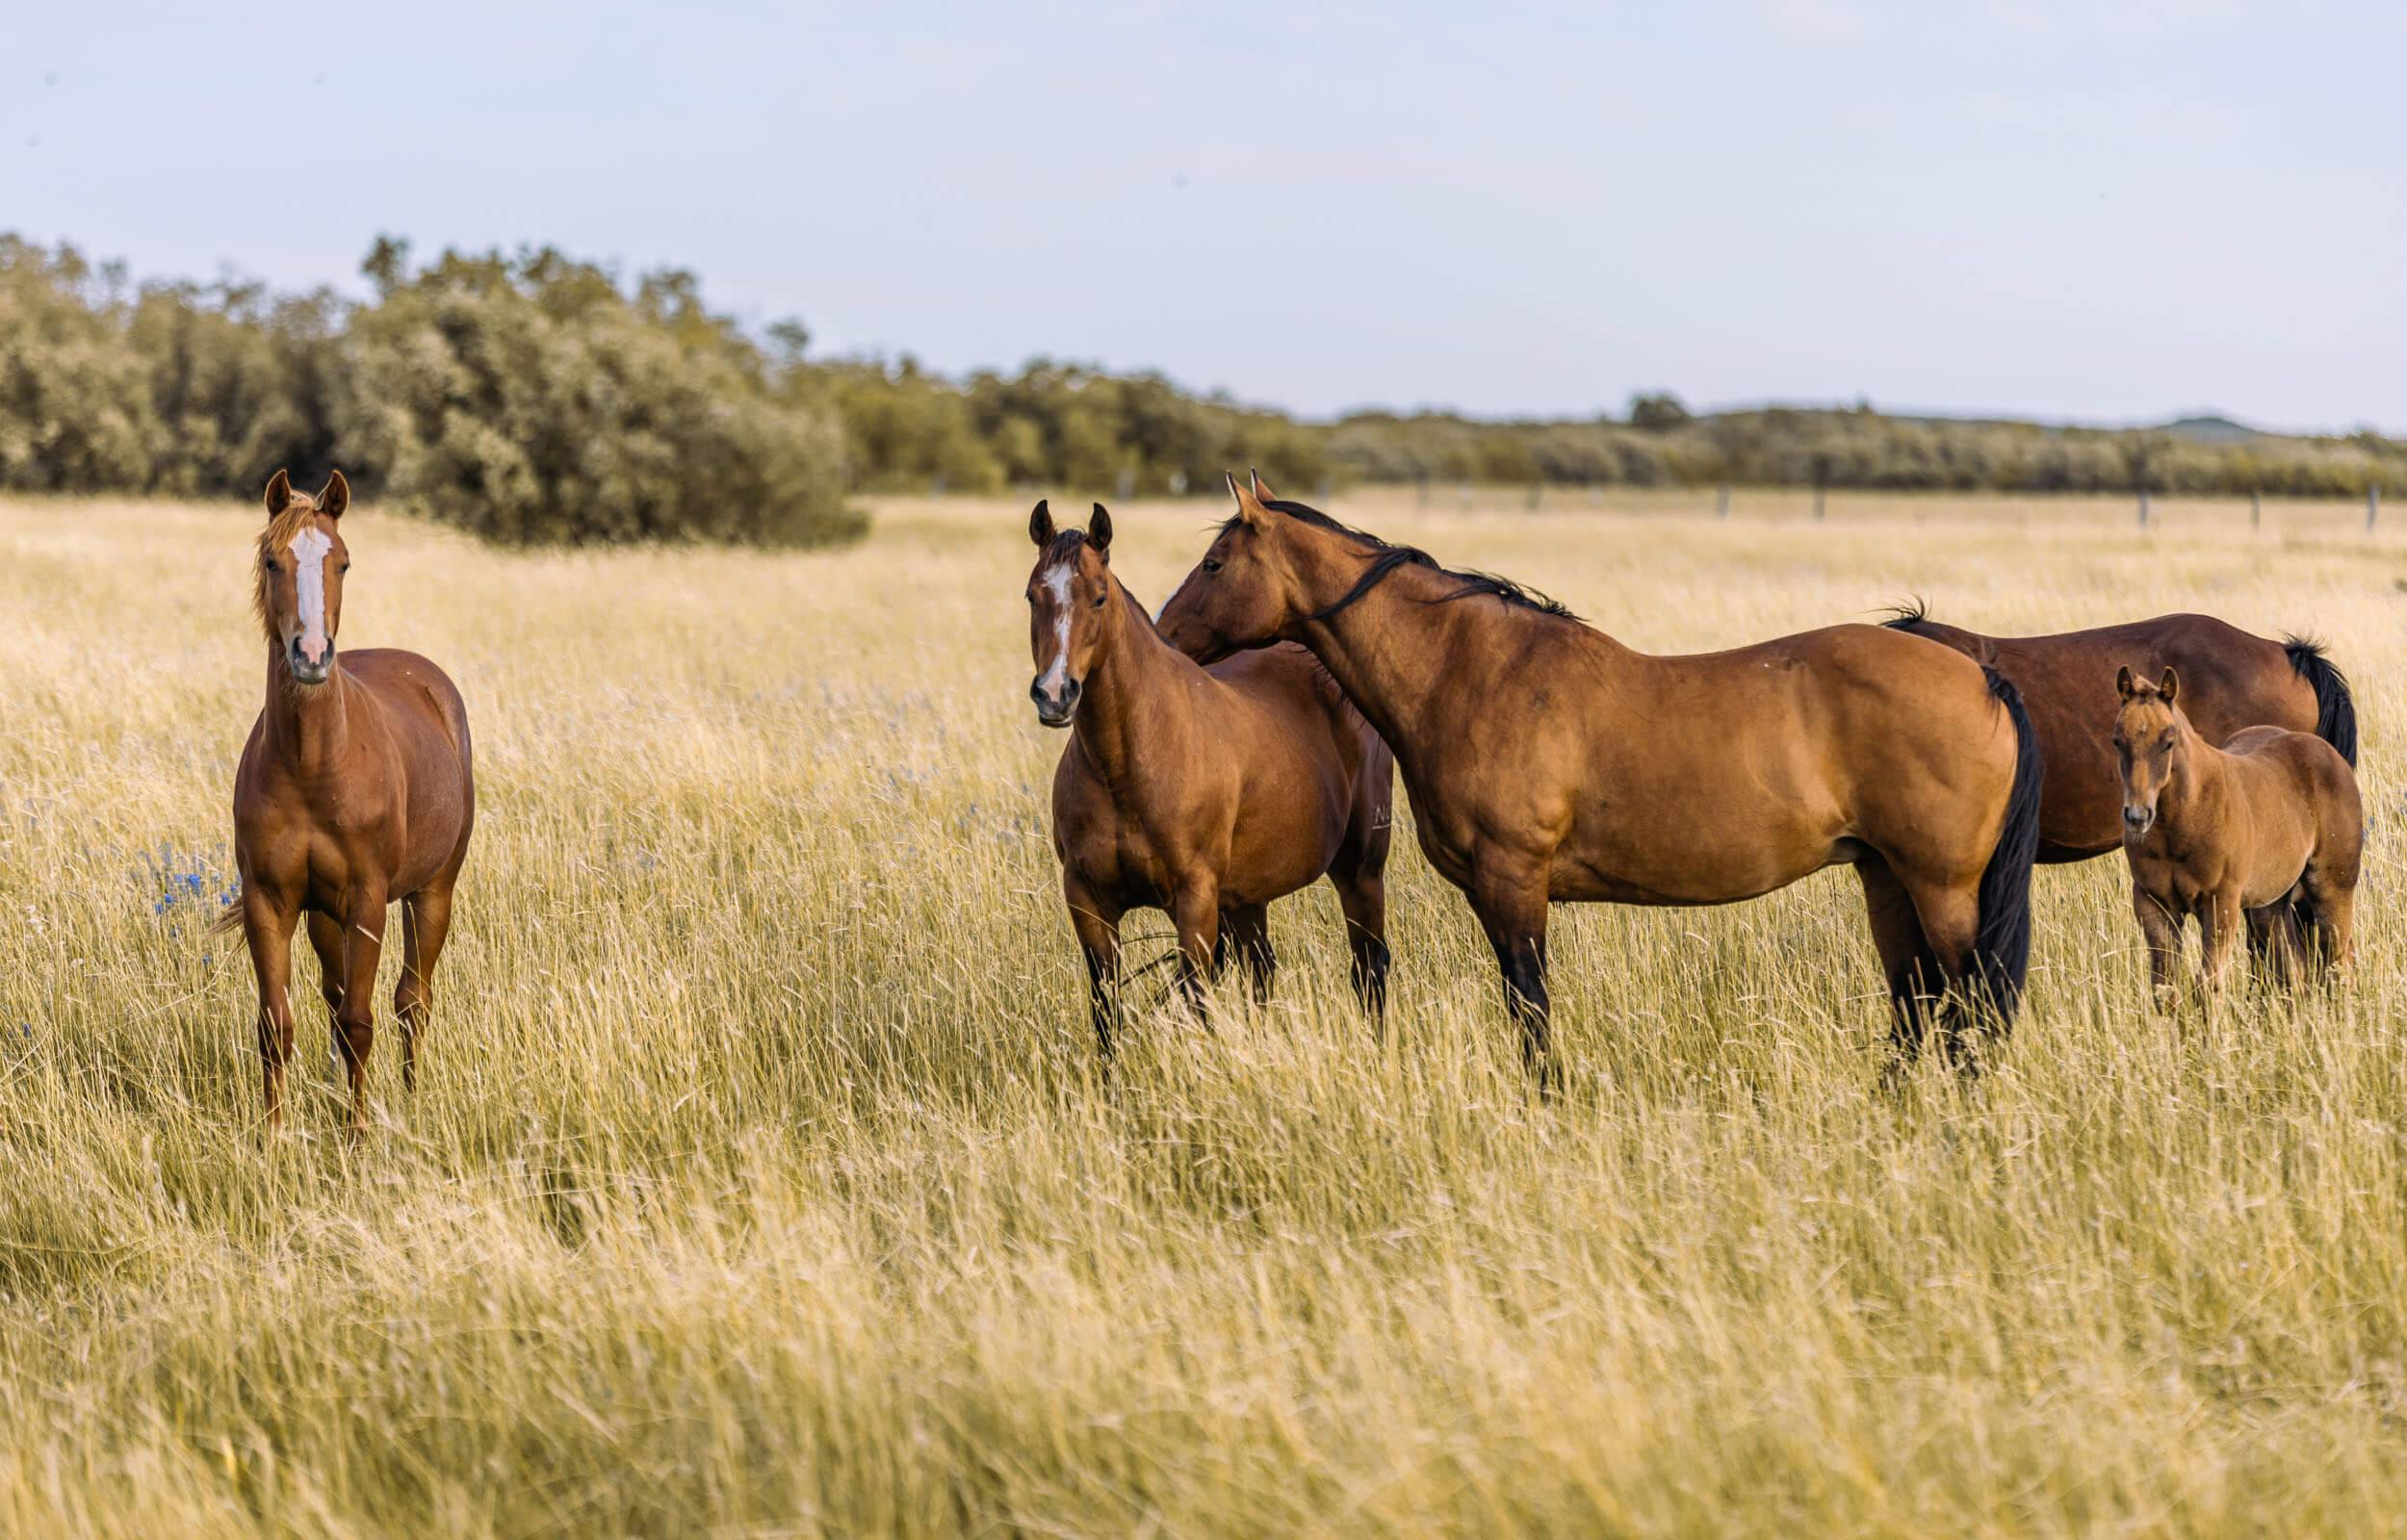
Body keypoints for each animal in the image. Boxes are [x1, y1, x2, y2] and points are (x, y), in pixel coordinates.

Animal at [229, 469, 479, 1131]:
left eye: (341, 561)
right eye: (272, 561)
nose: (312, 656)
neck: (312, 767)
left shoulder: (368, 901)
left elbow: (360, 1024)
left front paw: (358, 1136)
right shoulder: (270, 901)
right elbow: (276, 1026)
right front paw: (273, 1137)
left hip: (431, 892)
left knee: (411, 1001)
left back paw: (411, 1099)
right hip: (323, 915)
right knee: (338, 996)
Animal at [1021, 500, 1396, 1054]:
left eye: (1099, 597)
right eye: (1033, 595)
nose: (1054, 694)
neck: (1126, 765)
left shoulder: (1195, 901)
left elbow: (1197, 1003)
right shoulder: (1088, 901)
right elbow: (1106, 1013)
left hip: (1360, 872)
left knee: (1369, 967)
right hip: (1248, 897)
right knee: (1263, 970)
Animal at [1155, 476, 2041, 1088]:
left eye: (1215, 562)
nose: (1163, 640)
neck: (1471, 672)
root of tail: (1981, 679)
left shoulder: (1513, 883)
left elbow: (1529, 1005)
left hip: (1942, 889)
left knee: (1971, 1007)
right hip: (1887, 879)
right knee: (1919, 1005)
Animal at [2118, 664, 2359, 1006]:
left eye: (2168, 741)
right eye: (2117, 741)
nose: (2138, 816)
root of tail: (2327, 752)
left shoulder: (2220, 903)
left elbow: (2208, 986)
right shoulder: (2153, 904)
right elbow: (2165, 988)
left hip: (2331, 888)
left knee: (2338, 964)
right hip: (2269, 904)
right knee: (2294, 968)